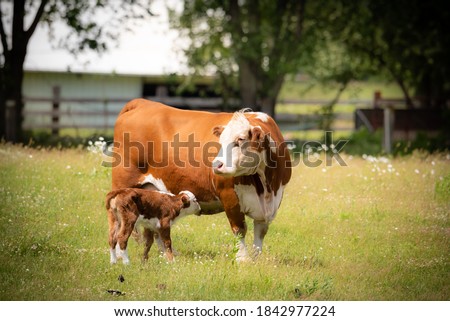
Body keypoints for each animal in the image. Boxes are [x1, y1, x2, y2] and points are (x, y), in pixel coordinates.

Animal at [111, 99, 292, 262]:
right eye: (220, 142)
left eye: (240, 140)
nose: (216, 164)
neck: (266, 186)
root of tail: (142, 103)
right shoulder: (229, 196)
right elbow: (239, 228)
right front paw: (243, 259)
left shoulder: (273, 201)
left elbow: (260, 232)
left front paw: (256, 259)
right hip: (123, 186)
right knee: (119, 226)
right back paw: (120, 256)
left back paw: (166, 255)